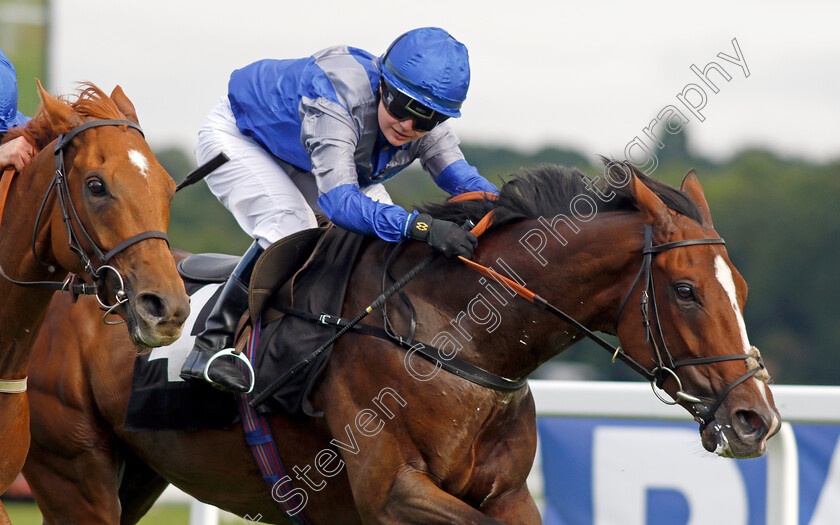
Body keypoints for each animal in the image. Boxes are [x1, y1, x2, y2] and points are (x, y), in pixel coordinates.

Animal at [21, 162, 780, 520]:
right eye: (686, 290)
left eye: (741, 288)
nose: (757, 418)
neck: (458, 339)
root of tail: (73, 281)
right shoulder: (390, 491)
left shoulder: (507, 493)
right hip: (73, 469)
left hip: (141, 470)